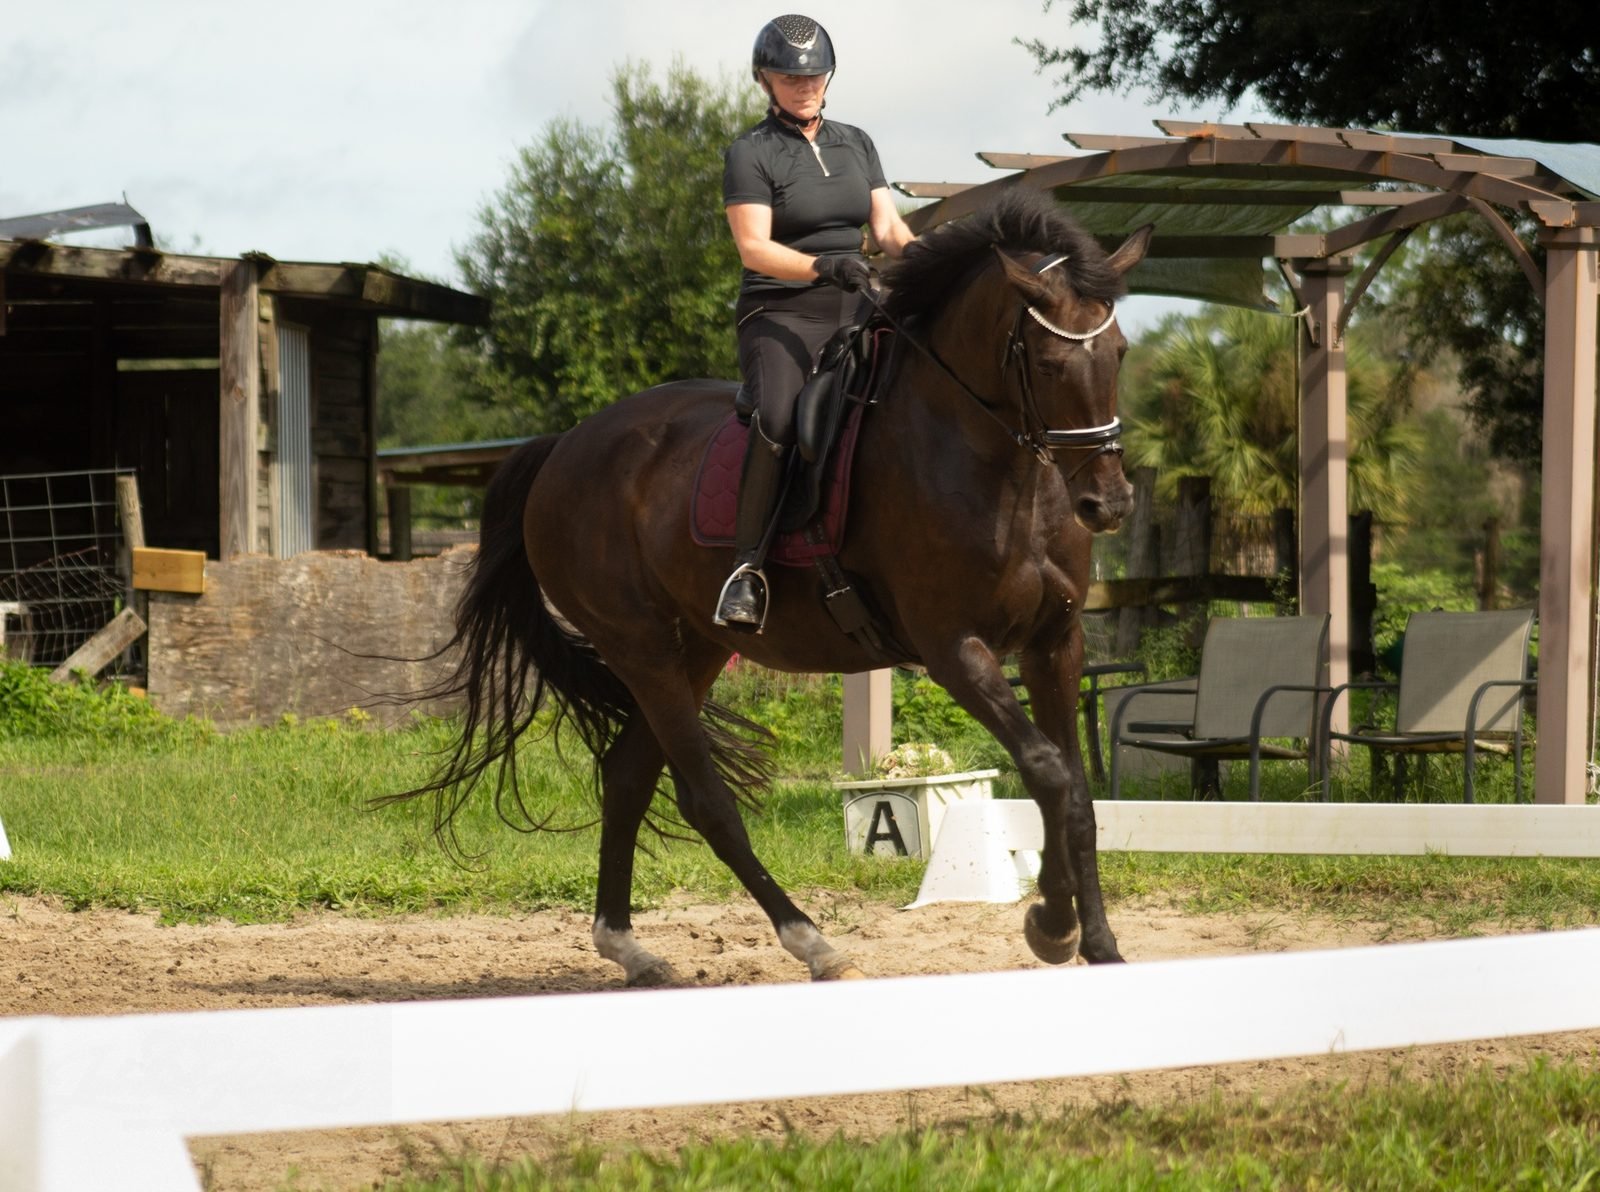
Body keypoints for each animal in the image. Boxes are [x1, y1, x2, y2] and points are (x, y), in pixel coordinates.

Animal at [391, 189, 1152, 985]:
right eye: (1048, 361)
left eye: (1120, 352)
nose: (1106, 504)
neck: (997, 467)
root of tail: (562, 446)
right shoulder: (953, 648)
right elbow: (1047, 771)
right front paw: (1051, 926)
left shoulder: (1054, 643)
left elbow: (1076, 793)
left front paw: (1100, 946)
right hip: (639, 647)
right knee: (703, 800)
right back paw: (811, 941)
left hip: (693, 648)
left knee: (628, 774)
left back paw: (628, 946)